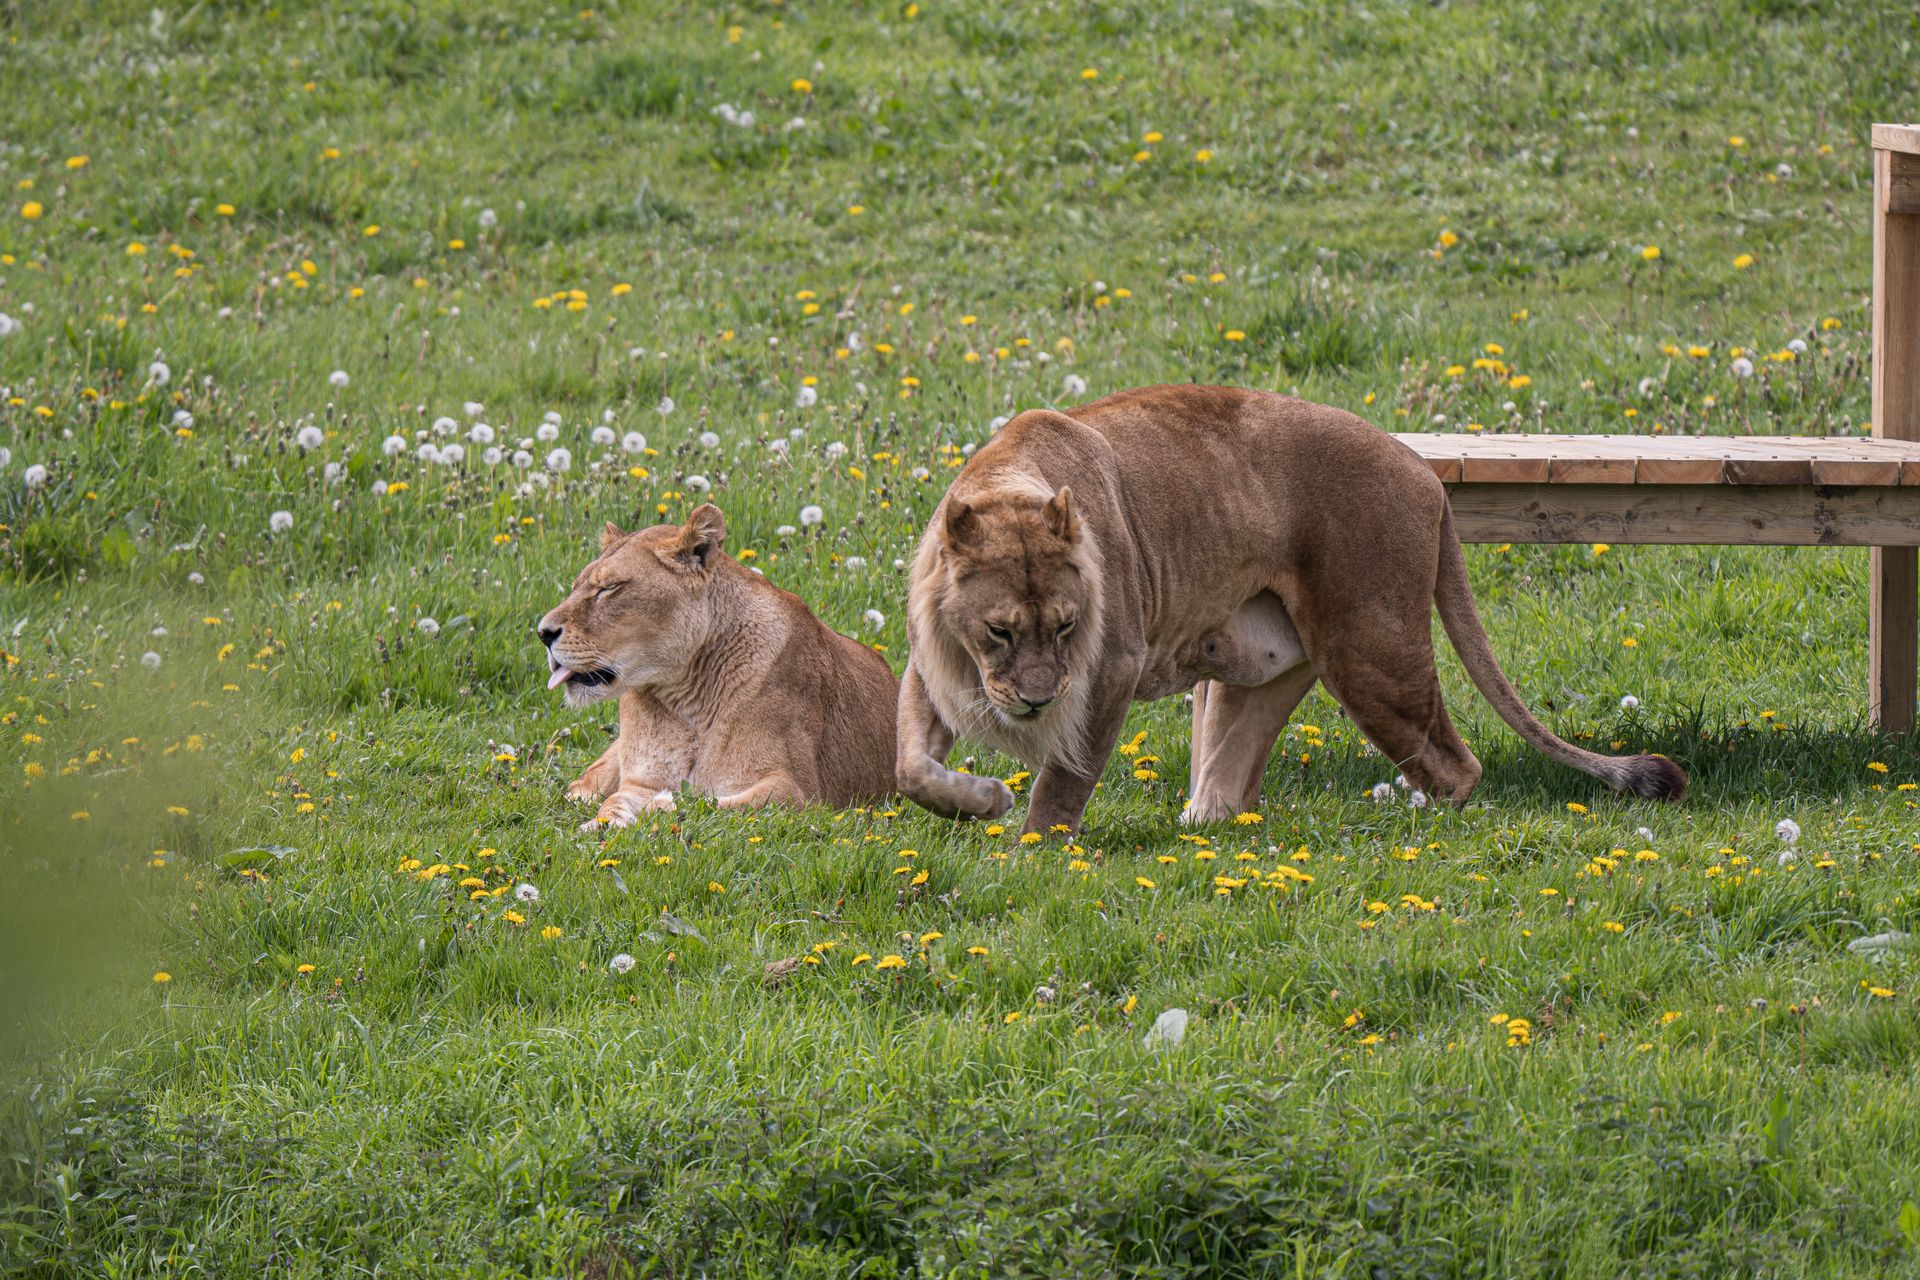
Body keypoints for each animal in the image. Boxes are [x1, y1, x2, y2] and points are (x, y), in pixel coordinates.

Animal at [538, 503, 898, 828]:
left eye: (609, 588)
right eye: (575, 588)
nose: (543, 633)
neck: (686, 702)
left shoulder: (796, 791)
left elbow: (711, 804)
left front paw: (661, 809)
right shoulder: (640, 782)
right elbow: (615, 802)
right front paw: (599, 826)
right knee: (581, 786)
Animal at [896, 384, 1686, 834]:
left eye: (1064, 627)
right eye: (998, 632)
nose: (1035, 702)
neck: (1010, 479)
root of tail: (1425, 473)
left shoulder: (1111, 665)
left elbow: (1066, 778)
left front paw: (1038, 847)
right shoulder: (937, 664)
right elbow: (911, 766)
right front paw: (981, 800)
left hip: (1371, 653)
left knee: (1456, 766)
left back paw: (1413, 824)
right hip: (1273, 662)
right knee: (1227, 787)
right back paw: (1205, 827)